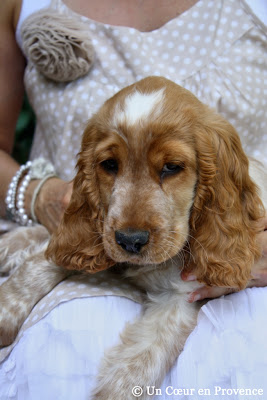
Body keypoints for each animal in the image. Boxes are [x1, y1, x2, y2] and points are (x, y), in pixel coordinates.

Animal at [0, 76, 267, 398]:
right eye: (109, 165)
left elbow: (137, 366)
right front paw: (4, 311)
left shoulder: (179, 299)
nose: (130, 240)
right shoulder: (96, 240)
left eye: (172, 167)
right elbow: (42, 262)